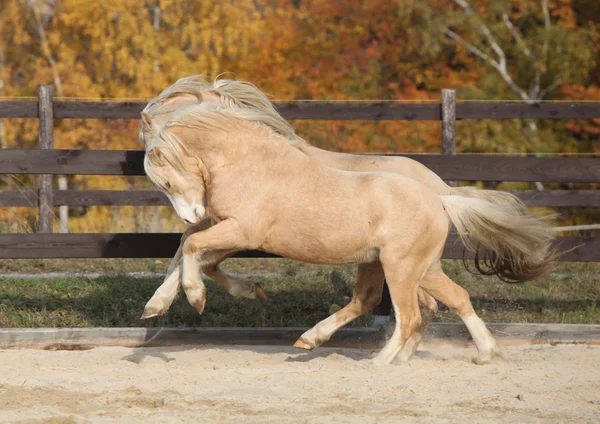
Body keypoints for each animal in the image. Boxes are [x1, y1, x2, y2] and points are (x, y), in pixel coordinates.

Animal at [137, 75, 552, 362]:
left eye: (166, 180)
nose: (193, 212)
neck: (246, 160)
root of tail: (439, 195)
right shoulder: (224, 227)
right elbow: (188, 252)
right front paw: (158, 305)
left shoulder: (241, 231)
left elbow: (192, 249)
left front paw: (196, 297)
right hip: (404, 266)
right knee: (438, 300)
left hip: (401, 267)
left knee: (411, 311)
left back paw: (380, 359)